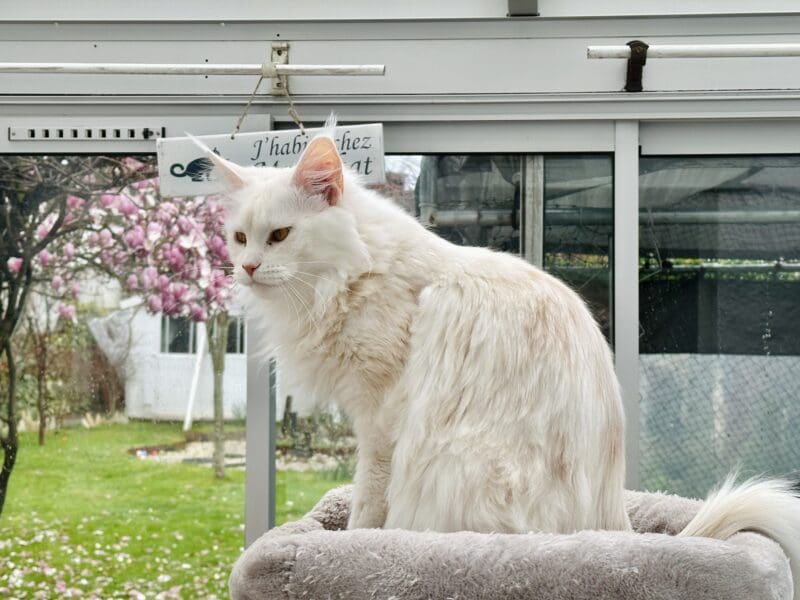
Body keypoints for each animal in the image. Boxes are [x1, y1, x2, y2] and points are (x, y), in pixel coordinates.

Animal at [195, 126, 800, 596]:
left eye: (280, 235)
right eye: (239, 237)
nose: (248, 268)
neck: (352, 273)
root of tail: (612, 526)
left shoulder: (380, 419)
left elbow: (368, 506)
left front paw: (355, 543)